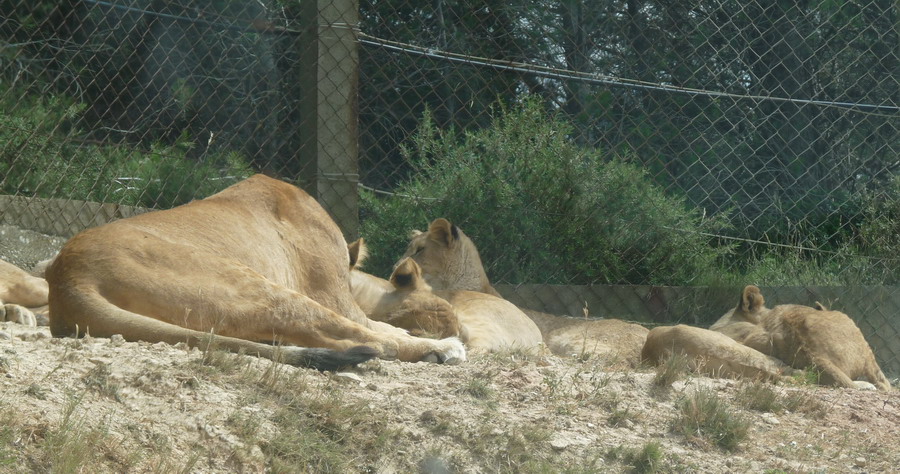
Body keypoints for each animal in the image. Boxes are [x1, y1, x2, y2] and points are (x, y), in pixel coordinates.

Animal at [44, 174, 464, 370]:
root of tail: (66, 275)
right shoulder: (333, 294)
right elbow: (375, 327)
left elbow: (382, 324)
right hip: (252, 285)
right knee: (364, 342)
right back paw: (443, 349)